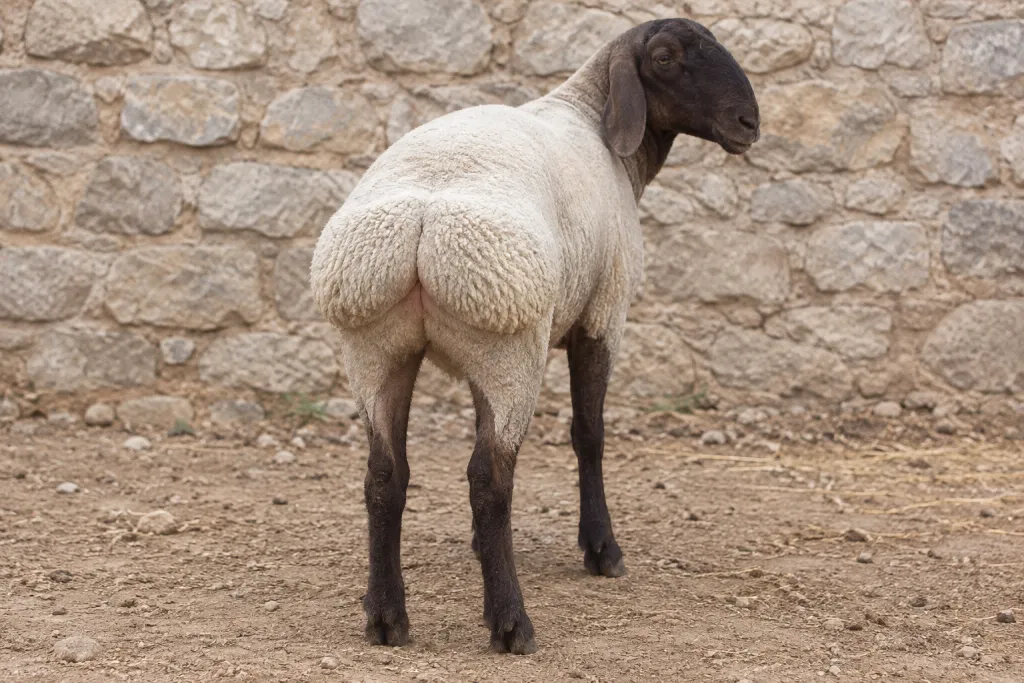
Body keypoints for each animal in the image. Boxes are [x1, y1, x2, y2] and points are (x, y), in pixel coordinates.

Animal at [310, 17, 760, 654]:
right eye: (666, 58)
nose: (749, 123)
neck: (592, 118)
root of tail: (422, 224)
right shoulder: (603, 314)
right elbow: (589, 434)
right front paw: (601, 550)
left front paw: (480, 548)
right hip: (513, 347)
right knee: (489, 480)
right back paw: (510, 622)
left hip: (377, 348)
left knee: (383, 477)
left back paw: (386, 617)